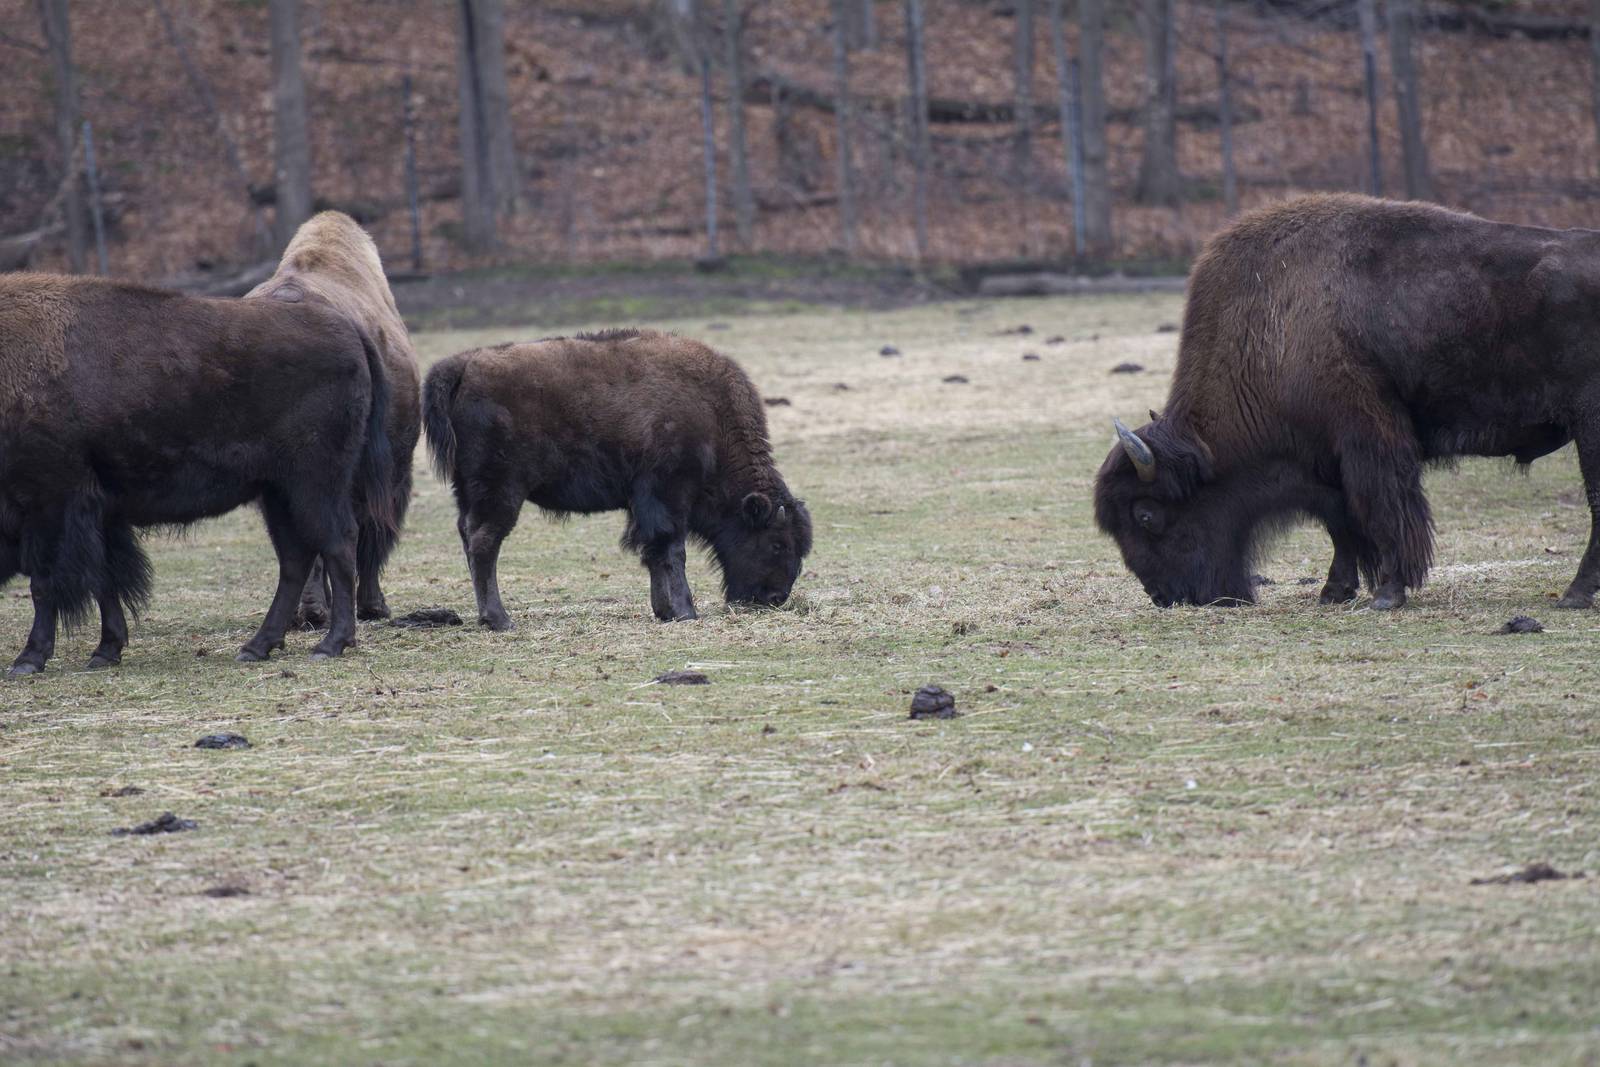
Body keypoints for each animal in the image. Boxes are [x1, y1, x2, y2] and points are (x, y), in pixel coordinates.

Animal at [0, 273, 394, 674]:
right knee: (295, 560)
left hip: (314, 484)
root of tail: (350, 332)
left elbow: (44, 584)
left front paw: (28, 660)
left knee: (337, 543)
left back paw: (331, 643)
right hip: (278, 493)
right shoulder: (98, 515)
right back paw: (257, 646)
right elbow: (104, 580)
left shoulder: (48, 504)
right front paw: (105, 651)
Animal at [422, 330, 812, 629]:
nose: (775, 598)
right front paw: (685, 611)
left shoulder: (643, 504)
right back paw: (499, 619)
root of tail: (464, 366)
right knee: (484, 542)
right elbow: (671, 549)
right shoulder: (668, 494)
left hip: (468, 491)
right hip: (501, 491)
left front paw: (664, 611)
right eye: (778, 543)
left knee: (468, 536)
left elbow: (652, 551)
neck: (712, 415)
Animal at [1095, 193, 1600, 611]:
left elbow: (1382, 509)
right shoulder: (1323, 459)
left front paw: (1388, 593)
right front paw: (1335, 591)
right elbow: (1341, 521)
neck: (1269, 327)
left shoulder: (1367, 439)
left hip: (1589, 426)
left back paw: (1574, 596)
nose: (1164, 595)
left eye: (1146, 513)